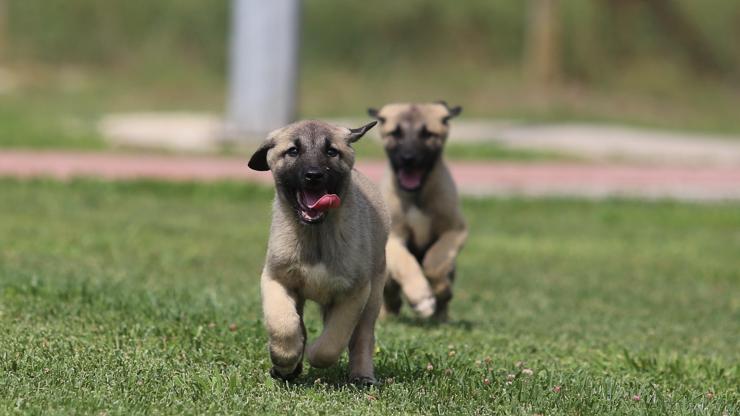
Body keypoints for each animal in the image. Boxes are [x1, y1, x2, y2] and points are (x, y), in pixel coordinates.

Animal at [247, 118, 390, 386]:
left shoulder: (354, 292)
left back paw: (363, 376)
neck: (316, 235)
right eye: (293, 151)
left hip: (374, 294)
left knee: (362, 337)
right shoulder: (276, 279)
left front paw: (313, 352)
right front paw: (284, 359)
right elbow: (284, 325)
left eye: (331, 151)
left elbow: (332, 342)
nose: (313, 175)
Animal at [370, 101, 468, 322]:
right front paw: (421, 298)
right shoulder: (393, 236)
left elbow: (436, 260)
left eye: (428, 134)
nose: (408, 159)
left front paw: (439, 289)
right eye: (395, 133)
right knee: (389, 288)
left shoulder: (455, 230)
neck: (416, 195)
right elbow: (406, 262)